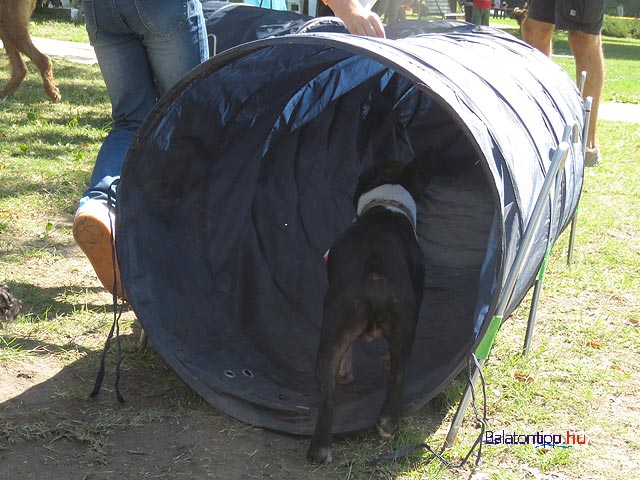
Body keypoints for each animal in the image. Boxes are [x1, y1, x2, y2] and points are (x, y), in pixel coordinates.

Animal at [306, 149, 436, 462]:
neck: (387, 206)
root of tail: (375, 275)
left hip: (335, 329)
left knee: (328, 389)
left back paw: (321, 448)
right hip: (399, 325)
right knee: (398, 371)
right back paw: (387, 423)